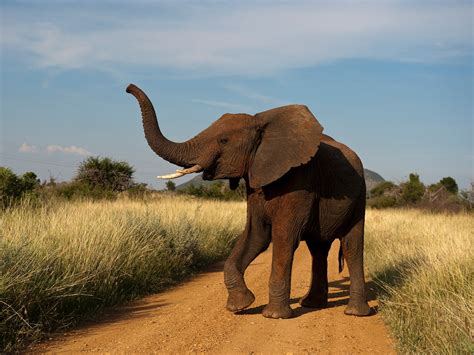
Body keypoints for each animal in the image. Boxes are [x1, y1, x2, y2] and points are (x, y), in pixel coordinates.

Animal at [128, 84, 372, 320]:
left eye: (223, 140)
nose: (128, 87)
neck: (261, 123)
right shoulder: (255, 182)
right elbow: (256, 235)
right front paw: (240, 305)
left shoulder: (302, 179)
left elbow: (284, 237)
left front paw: (274, 316)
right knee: (318, 248)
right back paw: (312, 304)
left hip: (360, 195)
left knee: (351, 246)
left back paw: (355, 313)